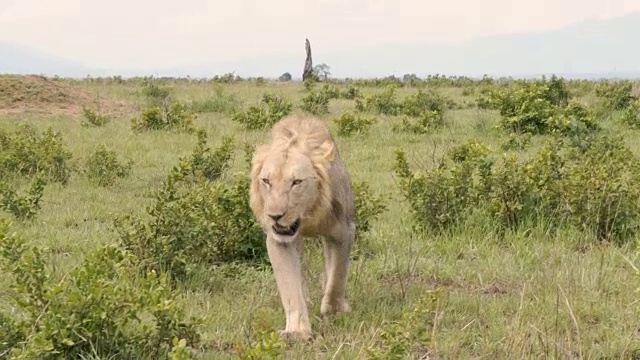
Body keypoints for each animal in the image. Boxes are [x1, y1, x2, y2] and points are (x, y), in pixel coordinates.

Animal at [250, 114, 358, 338]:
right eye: (266, 181)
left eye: (296, 182)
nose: (274, 216)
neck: (308, 215)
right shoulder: (279, 240)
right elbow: (290, 286)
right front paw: (297, 331)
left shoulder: (345, 232)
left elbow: (337, 274)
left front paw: (333, 310)